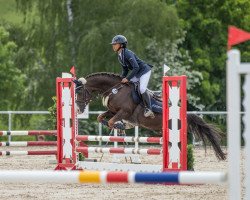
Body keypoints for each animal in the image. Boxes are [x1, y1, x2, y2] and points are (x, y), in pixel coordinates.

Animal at [74, 72, 227, 160]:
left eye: (80, 92)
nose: (78, 110)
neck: (115, 89)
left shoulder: (124, 112)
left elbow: (111, 122)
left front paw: (121, 125)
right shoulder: (112, 111)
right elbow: (100, 118)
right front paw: (120, 125)